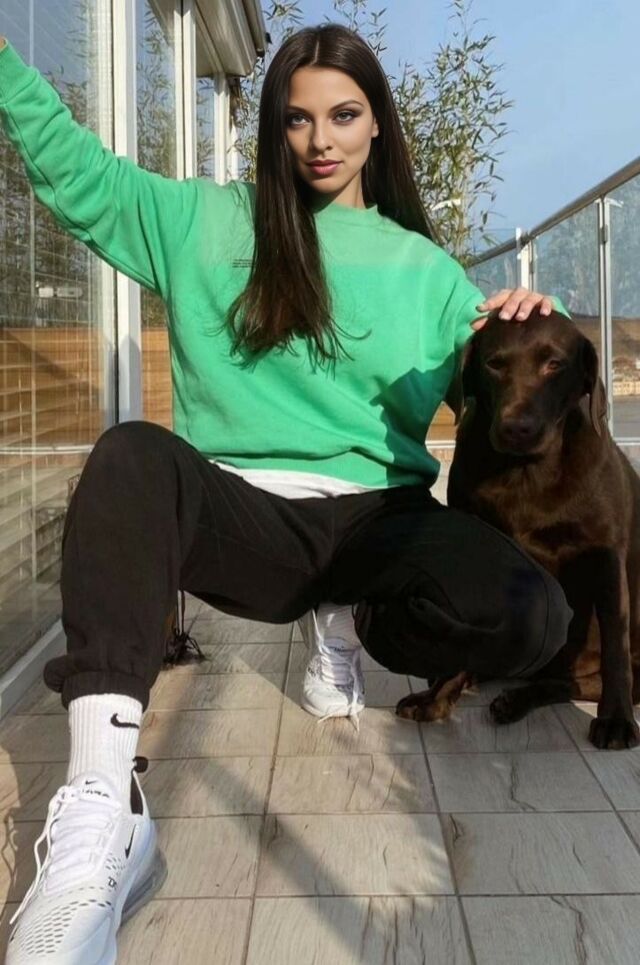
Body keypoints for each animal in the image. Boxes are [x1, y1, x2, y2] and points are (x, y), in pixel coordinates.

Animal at [396, 308, 640, 750]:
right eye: (494, 364)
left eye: (554, 364)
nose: (516, 428)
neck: (526, 474)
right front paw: (437, 695)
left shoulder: (606, 556)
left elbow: (616, 644)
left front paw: (615, 720)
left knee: (580, 681)